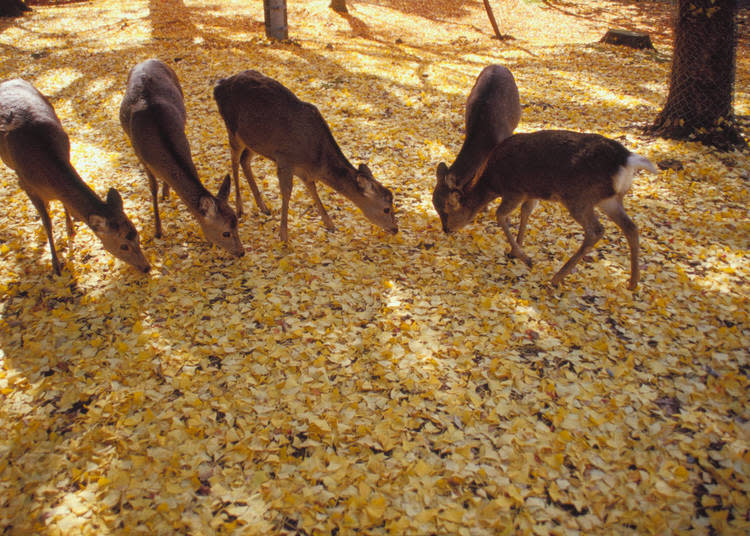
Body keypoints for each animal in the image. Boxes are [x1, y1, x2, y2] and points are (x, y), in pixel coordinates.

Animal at [0, 79, 151, 276]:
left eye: (137, 233)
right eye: (123, 246)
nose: (146, 267)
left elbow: (64, 204)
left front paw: (70, 228)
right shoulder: (25, 183)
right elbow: (47, 222)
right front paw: (56, 265)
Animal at [119, 59, 245, 256]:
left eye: (237, 224)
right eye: (225, 232)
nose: (241, 252)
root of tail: (149, 60)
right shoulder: (140, 155)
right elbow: (152, 188)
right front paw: (158, 231)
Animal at [212, 70, 400, 242]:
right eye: (386, 208)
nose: (395, 229)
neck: (315, 158)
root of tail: (219, 85)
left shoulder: (303, 171)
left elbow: (313, 189)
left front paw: (330, 225)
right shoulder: (284, 159)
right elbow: (287, 193)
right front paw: (284, 236)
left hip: (255, 141)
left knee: (244, 160)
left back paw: (263, 206)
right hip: (232, 129)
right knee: (234, 161)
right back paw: (240, 208)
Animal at [434, 130, 656, 288]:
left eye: (447, 210)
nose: (446, 229)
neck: (491, 182)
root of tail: (625, 160)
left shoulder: (514, 190)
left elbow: (500, 216)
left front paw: (525, 258)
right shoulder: (531, 193)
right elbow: (525, 213)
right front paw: (515, 251)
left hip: (579, 197)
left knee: (596, 230)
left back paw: (556, 278)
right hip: (610, 199)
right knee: (631, 227)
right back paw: (633, 282)